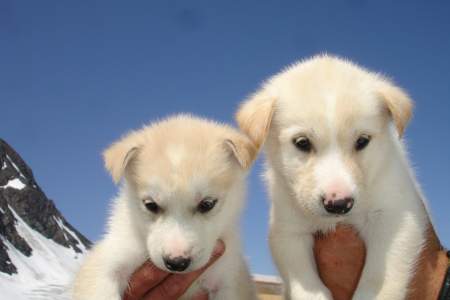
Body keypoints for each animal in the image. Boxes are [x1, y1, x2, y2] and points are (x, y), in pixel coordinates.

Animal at [237, 55, 434, 298]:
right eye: (302, 143)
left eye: (362, 141)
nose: (339, 204)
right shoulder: (287, 231)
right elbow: (306, 284)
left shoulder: (397, 217)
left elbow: (379, 279)